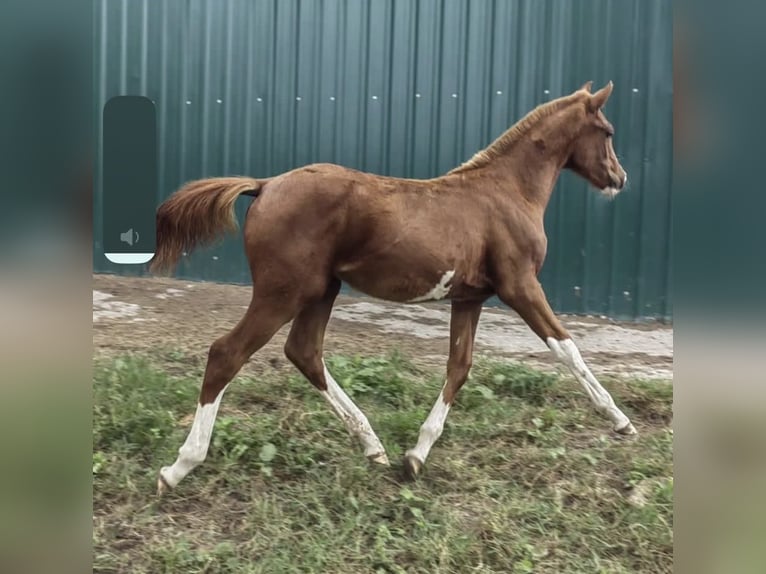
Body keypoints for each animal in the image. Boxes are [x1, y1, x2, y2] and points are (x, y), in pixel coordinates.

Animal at [154, 79, 636, 498]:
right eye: (608, 132)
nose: (621, 178)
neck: (507, 191)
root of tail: (266, 185)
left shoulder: (469, 298)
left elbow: (459, 367)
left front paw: (415, 456)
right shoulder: (520, 285)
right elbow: (566, 347)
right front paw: (620, 420)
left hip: (321, 290)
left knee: (304, 351)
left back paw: (373, 447)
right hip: (283, 291)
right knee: (227, 353)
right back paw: (178, 468)